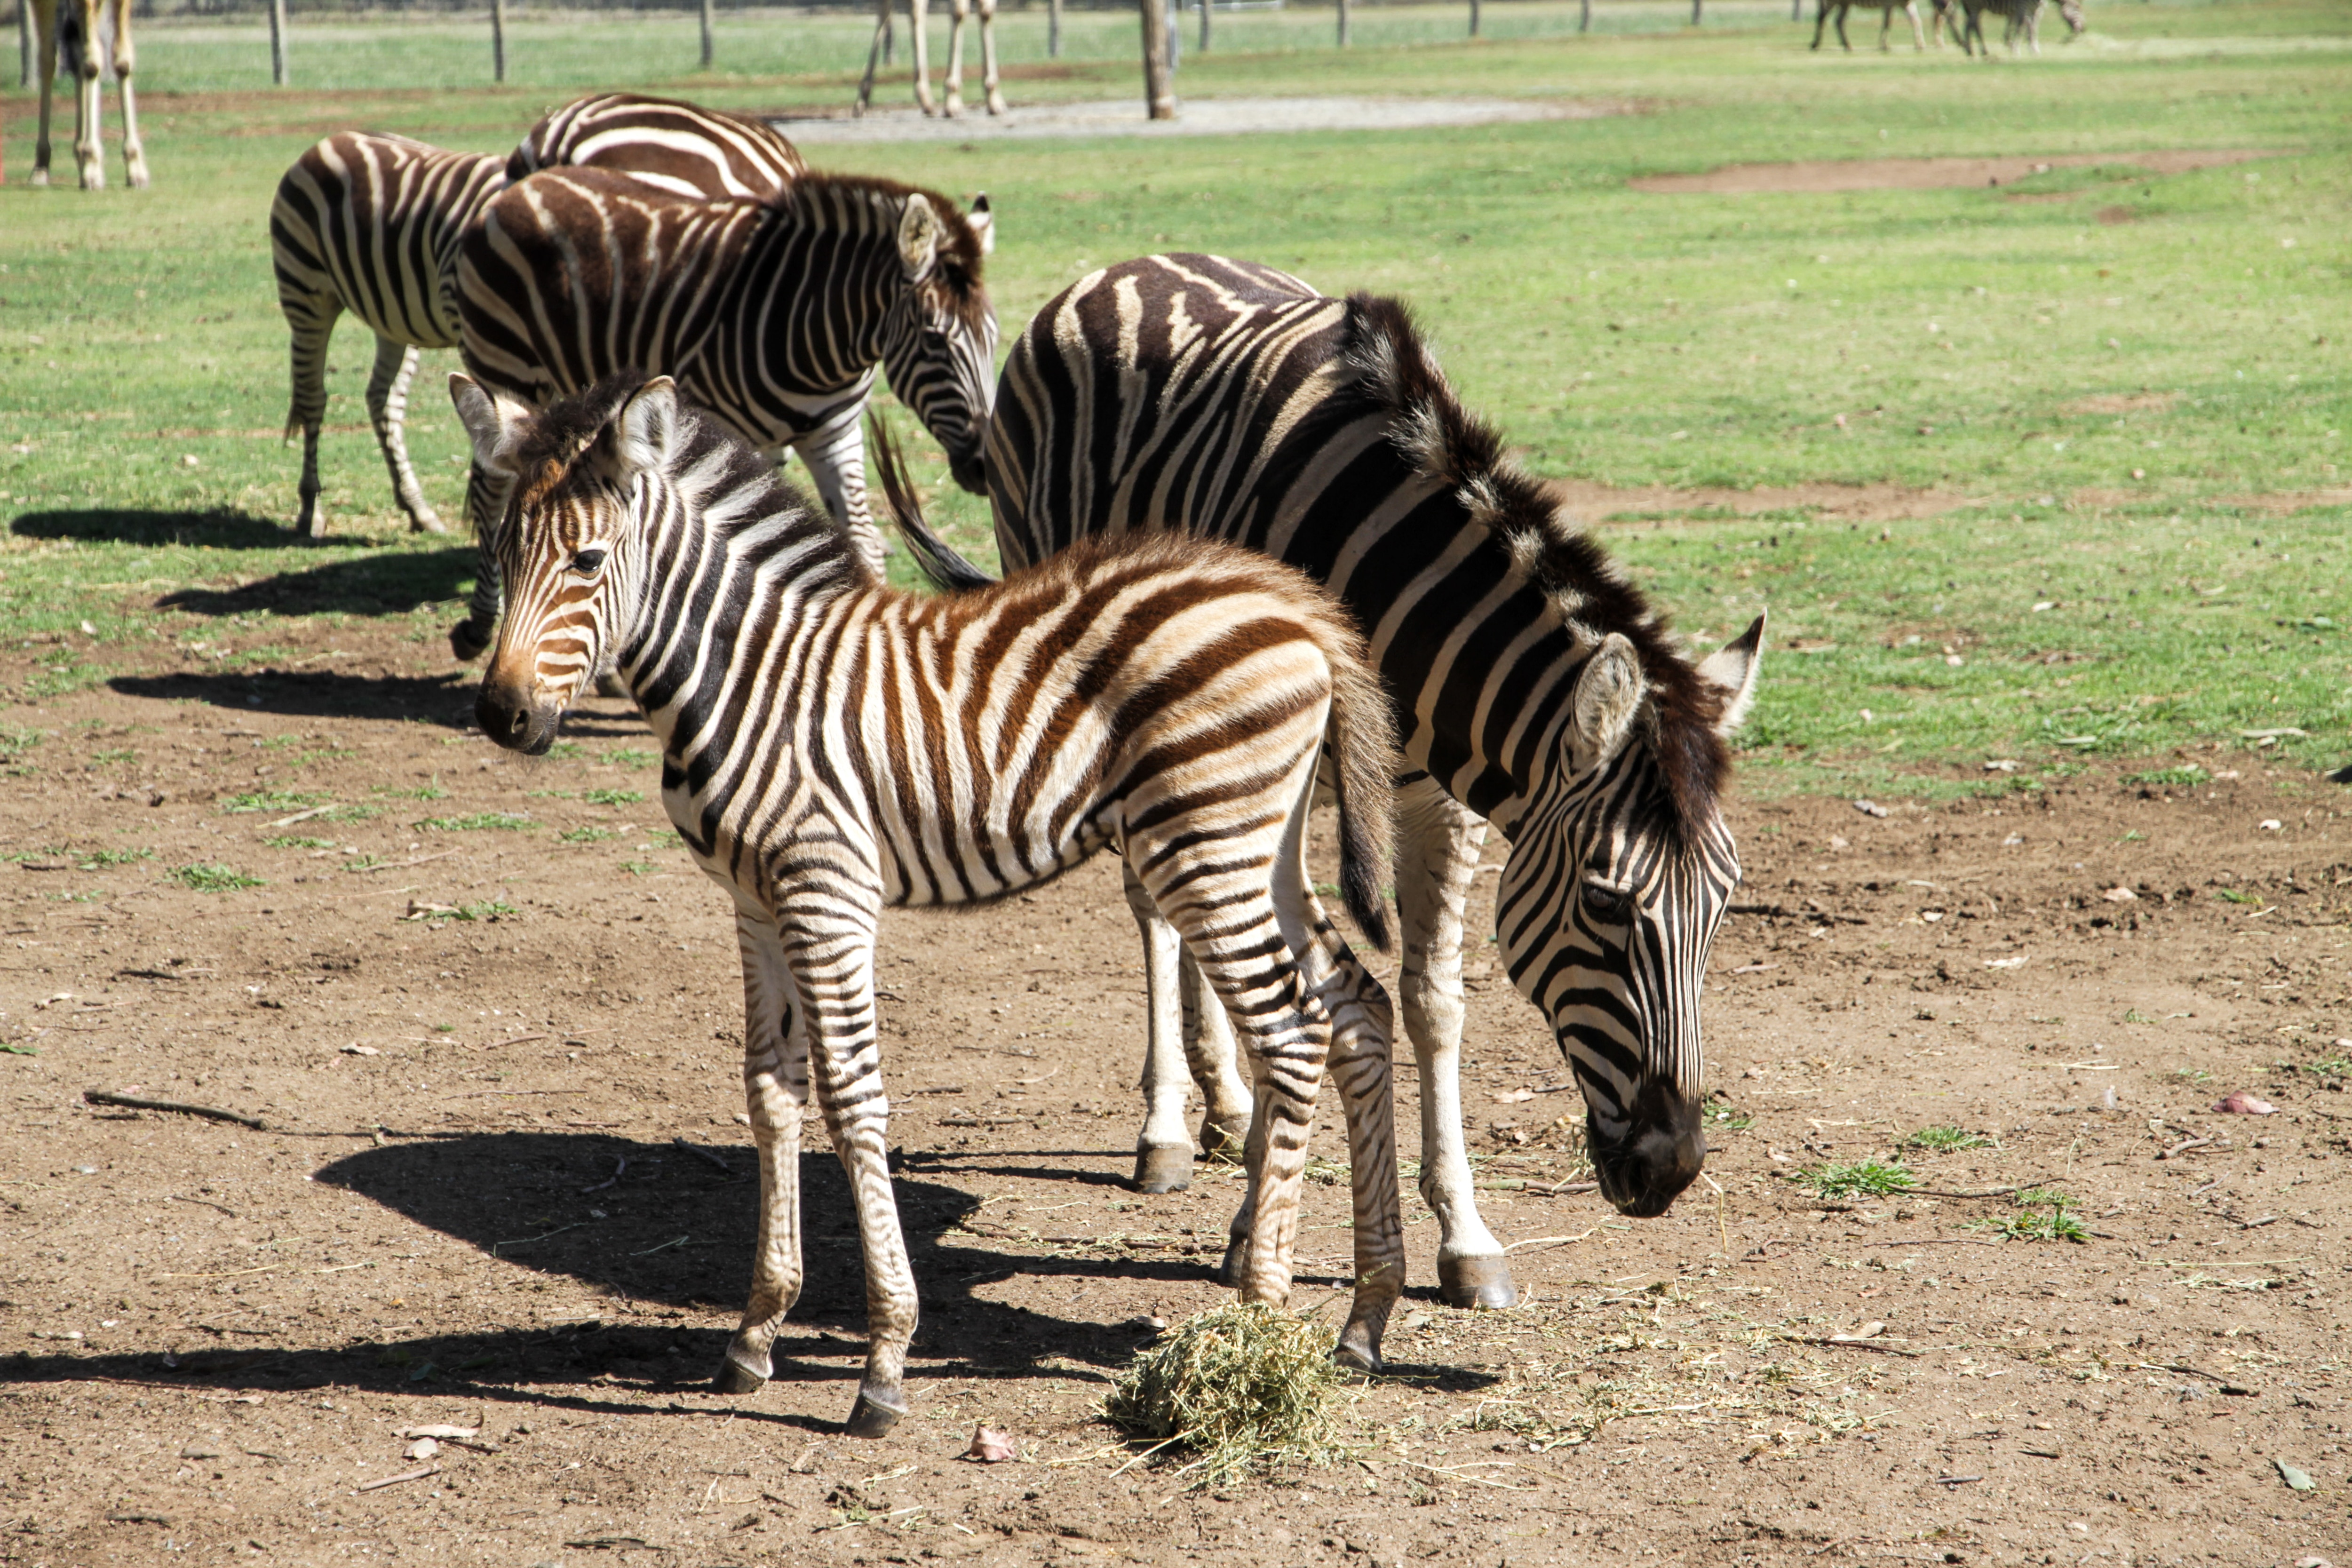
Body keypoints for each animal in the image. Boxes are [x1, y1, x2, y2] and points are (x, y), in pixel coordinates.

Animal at [26, 0, 147, 190]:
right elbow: (92, 63)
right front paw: (92, 170)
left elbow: (123, 61)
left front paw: (136, 171)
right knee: (48, 58)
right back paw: (41, 169)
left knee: (76, 52)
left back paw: (80, 155)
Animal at [270, 96, 810, 537]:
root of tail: (332, 140)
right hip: (307, 288)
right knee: (314, 398)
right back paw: (311, 510)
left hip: (393, 316)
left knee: (382, 400)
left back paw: (416, 509)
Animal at [449, 167, 997, 654]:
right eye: (934, 340)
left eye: (994, 336)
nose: (981, 467)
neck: (813, 329)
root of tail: (522, 186)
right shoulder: (734, 436)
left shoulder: (836, 435)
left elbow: (858, 538)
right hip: (502, 360)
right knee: (491, 493)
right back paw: (480, 624)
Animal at [452, 369, 1406, 1436]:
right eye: (502, 553)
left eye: (586, 560)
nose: (501, 716)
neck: (746, 674)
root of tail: (1293, 600)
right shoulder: (754, 901)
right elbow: (770, 1093)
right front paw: (756, 1331)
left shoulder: (827, 893)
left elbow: (852, 1099)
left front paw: (884, 1359)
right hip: (1260, 844)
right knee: (1358, 1006)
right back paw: (1365, 1315)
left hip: (1207, 844)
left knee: (1293, 1034)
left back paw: (1259, 1323)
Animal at [899, 255, 1764, 1309]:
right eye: (1604, 903)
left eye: (1723, 905)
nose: (1669, 1169)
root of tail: (1133, 264)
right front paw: (1250, 1228)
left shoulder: (1448, 795)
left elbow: (1434, 997)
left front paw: (1464, 1233)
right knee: (1153, 906)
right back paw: (1169, 1127)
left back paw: (1226, 1108)